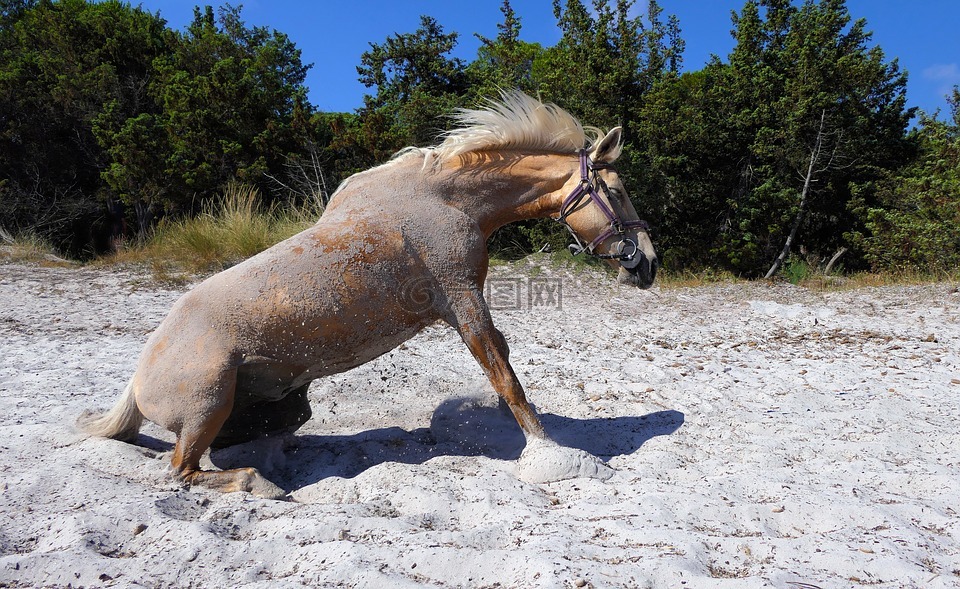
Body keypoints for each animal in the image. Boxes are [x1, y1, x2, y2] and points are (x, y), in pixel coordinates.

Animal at [79, 90, 656, 496]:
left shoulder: (462, 305)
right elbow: (504, 373)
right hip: (208, 403)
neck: (446, 201)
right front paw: (554, 455)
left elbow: (503, 362)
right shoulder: (462, 299)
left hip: (268, 404)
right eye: (617, 192)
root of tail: (137, 378)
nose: (647, 264)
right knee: (181, 469)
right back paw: (259, 482)